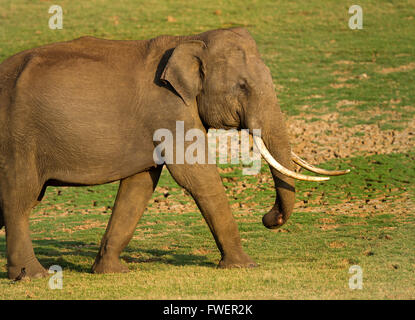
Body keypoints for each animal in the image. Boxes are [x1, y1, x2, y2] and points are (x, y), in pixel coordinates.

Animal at [0, 27, 352, 278]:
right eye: (242, 87)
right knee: (20, 198)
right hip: (16, 139)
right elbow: (197, 175)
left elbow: (139, 184)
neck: (190, 39)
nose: (268, 218)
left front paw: (111, 271)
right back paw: (32, 275)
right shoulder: (170, 110)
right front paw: (244, 265)